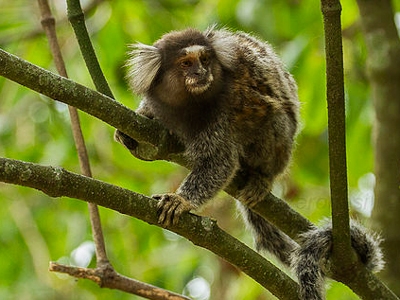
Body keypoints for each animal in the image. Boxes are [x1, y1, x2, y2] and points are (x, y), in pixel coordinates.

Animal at [114, 27, 382, 298]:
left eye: (205, 60)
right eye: (186, 63)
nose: (201, 73)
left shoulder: (222, 110)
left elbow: (220, 162)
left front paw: (181, 200)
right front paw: (131, 132)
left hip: (281, 144)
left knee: (272, 117)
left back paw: (261, 177)